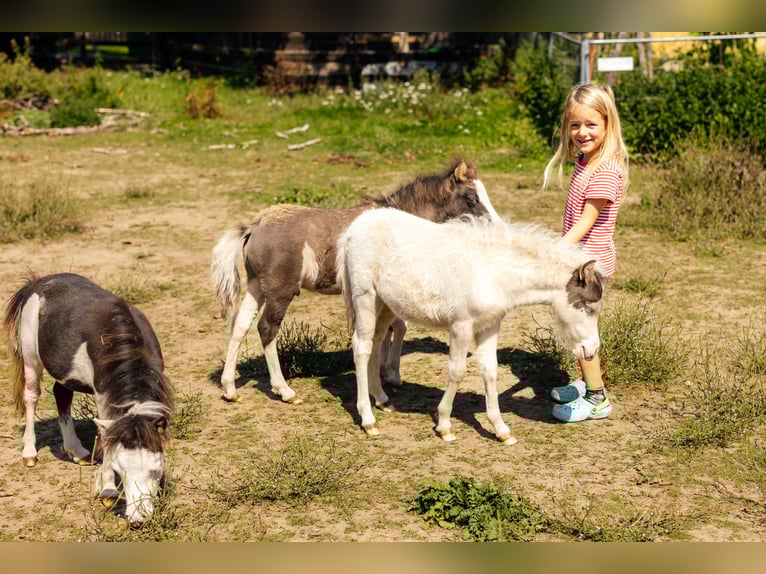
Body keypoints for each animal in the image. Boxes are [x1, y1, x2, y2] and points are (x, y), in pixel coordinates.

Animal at [4, 273, 174, 525]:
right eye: (120, 471)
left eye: (156, 470)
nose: (138, 519)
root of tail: (37, 282)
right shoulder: (104, 397)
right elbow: (105, 436)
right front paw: (107, 491)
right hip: (30, 357)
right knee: (31, 397)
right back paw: (29, 454)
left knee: (61, 393)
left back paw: (77, 451)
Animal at [210, 158, 501, 405]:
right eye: (472, 198)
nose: (496, 226)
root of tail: (254, 227)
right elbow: (399, 326)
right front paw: (391, 375)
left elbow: (389, 329)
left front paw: (381, 372)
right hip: (281, 291)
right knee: (267, 329)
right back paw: (285, 391)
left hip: (257, 286)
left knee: (239, 325)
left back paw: (230, 388)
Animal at [336, 209, 606, 445]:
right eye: (588, 307)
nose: (591, 349)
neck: (494, 272)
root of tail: (355, 227)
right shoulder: (461, 326)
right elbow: (457, 372)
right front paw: (445, 425)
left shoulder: (490, 325)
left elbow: (490, 371)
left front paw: (501, 430)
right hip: (365, 297)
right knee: (362, 347)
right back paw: (368, 419)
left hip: (386, 304)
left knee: (375, 342)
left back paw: (382, 399)